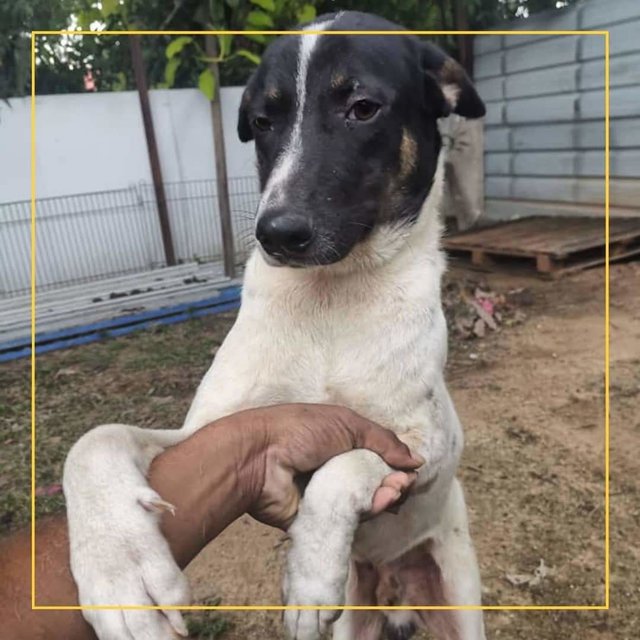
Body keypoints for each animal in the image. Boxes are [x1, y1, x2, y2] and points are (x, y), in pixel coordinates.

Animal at [63, 11, 484, 640]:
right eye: (263, 121)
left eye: (362, 107)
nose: (276, 234)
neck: (330, 302)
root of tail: (394, 584)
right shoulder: (207, 433)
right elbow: (94, 441)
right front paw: (117, 567)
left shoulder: (420, 449)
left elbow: (344, 461)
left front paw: (309, 574)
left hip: (458, 592)